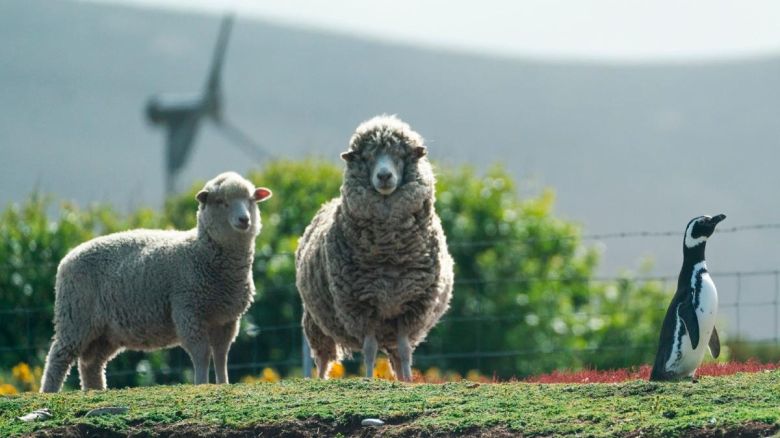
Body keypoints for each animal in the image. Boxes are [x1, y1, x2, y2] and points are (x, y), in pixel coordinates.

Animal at [39, 172, 272, 394]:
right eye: (221, 201)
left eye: (251, 199)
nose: (244, 220)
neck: (201, 252)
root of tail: (67, 258)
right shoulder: (188, 311)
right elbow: (202, 353)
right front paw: (202, 384)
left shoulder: (227, 319)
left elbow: (222, 354)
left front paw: (223, 383)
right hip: (75, 317)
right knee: (58, 357)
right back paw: (50, 392)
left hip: (106, 332)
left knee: (91, 365)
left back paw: (96, 391)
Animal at [296, 114, 454, 382]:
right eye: (368, 157)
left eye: (399, 156)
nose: (384, 176)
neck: (388, 251)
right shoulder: (362, 306)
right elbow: (369, 349)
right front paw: (369, 379)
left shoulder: (410, 307)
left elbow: (404, 349)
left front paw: (409, 382)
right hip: (316, 319)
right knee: (323, 355)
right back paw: (321, 379)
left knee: (397, 355)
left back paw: (402, 378)